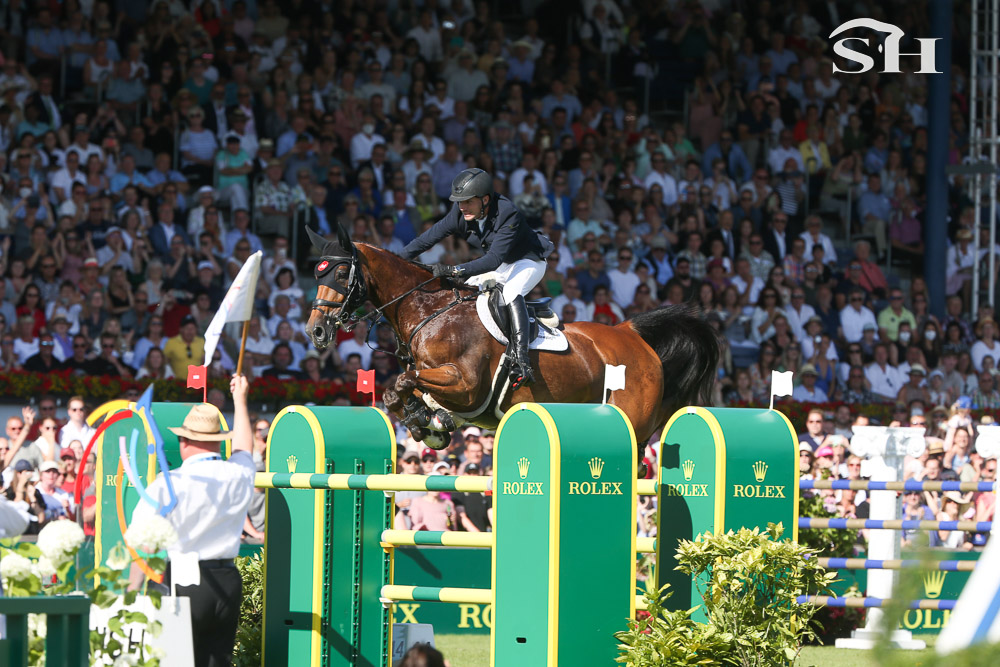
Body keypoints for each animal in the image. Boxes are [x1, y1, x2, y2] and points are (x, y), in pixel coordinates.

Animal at [304, 226, 720, 462]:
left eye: (340, 274)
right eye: (315, 273)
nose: (316, 331)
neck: (430, 311)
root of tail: (631, 332)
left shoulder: (466, 385)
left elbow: (407, 383)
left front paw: (430, 420)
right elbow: (397, 391)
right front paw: (430, 424)